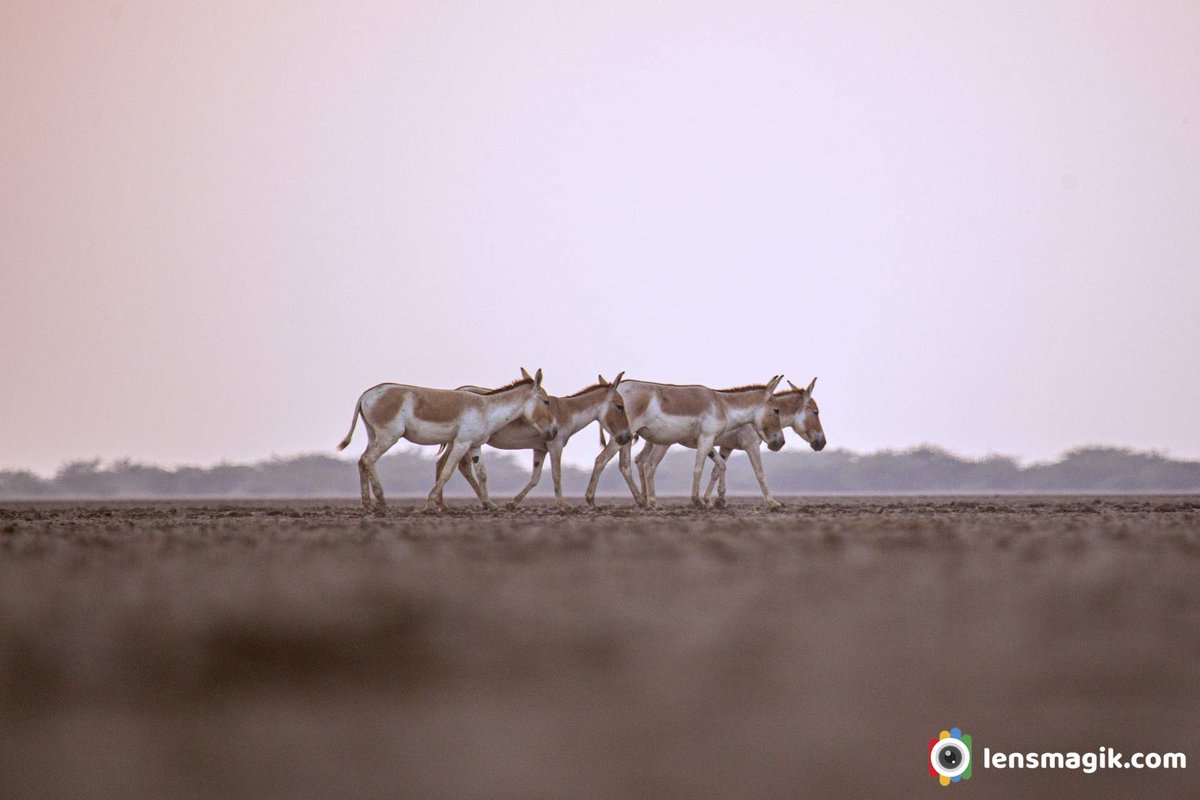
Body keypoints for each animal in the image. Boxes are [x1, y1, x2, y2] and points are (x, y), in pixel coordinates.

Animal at [336, 367, 554, 510]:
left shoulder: (475, 445)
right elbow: (447, 472)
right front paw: (430, 502)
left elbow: (482, 474)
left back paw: (368, 505)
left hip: (373, 434)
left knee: (362, 460)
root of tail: (366, 394)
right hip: (388, 435)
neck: (487, 409)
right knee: (368, 459)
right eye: (546, 401)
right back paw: (381, 503)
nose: (553, 431)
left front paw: (490, 505)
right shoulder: (461, 443)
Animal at [434, 374, 633, 506]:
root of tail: (459, 389)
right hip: (459, 440)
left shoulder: (540, 449)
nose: (627, 437)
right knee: (445, 463)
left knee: (457, 466)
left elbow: (535, 478)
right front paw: (563, 505)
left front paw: (513, 503)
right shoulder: (555, 445)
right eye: (620, 406)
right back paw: (444, 504)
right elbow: (556, 474)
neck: (568, 411)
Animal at [583, 379, 787, 510]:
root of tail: (617, 388)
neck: (722, 405)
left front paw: (711, 501)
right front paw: (697, 501)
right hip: (628, 438)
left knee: (626, 465)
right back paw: (592, 500)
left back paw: (643, 502)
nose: (780, 443)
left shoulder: (707, 439)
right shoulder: (708, 437)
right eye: (776, 410)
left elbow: (720, 465)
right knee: (602, 460)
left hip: (628, 438)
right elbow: (699, 468)